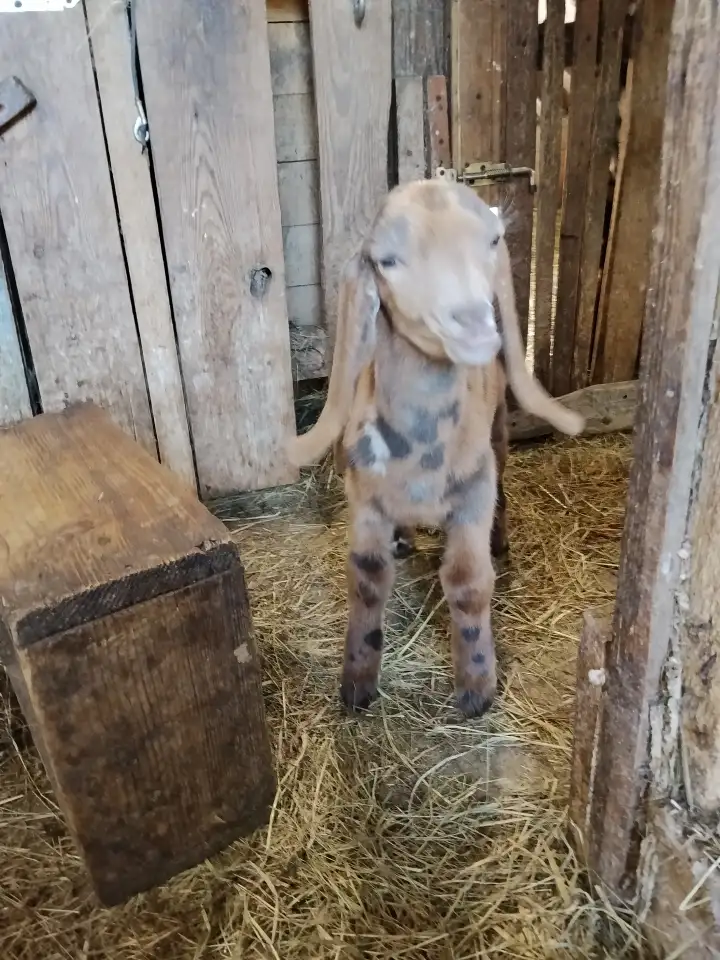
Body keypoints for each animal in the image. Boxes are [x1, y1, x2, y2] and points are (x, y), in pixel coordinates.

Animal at [287, 178, 584, 717]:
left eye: (492, 240)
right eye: (387, 260)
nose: (474, 324)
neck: (423, 454)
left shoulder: (472, 495)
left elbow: (468, 582)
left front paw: (476, 689)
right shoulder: (365, 499)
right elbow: (367, 578)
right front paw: (356, 683)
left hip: (497, 436)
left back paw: (500, 540)